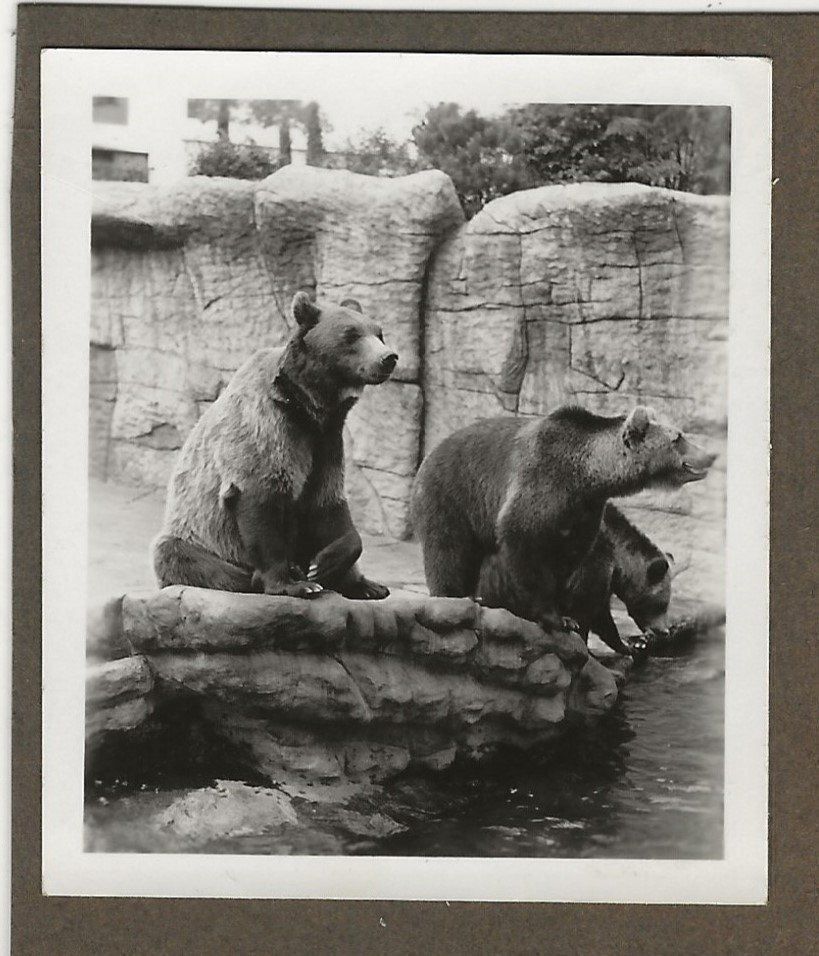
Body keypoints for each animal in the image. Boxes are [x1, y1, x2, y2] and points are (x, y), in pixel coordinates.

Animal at [152, 290, 399, 600]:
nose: (388, 358)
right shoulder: (270, 429)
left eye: (379, 333)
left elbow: (328, 501)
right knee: (179, 554)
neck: (308, 407)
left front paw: (327, 565)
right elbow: (261, 500)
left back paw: (368, 585)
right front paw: (295, 583)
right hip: (196, 539)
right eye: (350, 335)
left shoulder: (327, 441)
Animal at [410, 405, 715, 633]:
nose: (710, 454)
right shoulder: (541, 483)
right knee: (448, 549)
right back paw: (454, 598)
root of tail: (429, 454)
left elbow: (567, 558)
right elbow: (525, 543)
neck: (589, 475)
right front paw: (555, 617)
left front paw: (567, 616)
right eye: (678, 437)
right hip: (452, 494)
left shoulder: (582, 513)